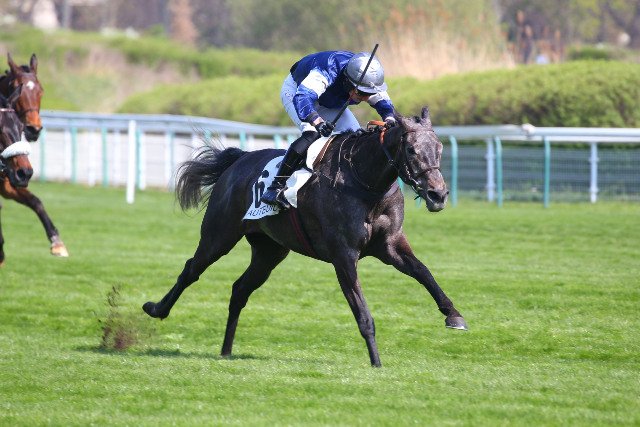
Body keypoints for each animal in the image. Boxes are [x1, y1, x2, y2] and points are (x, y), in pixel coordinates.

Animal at [0, 53, 68, 259]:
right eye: (17, 87)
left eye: (41, 91)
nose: (34, 129)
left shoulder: (9, 183)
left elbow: (36, 201)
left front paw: (57, 242)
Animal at [143, 107, 467, 367]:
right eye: (411, 150)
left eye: (439, 148)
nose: (438, 195)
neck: (364, 183)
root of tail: (238, 160)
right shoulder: (343, 256)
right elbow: (362, 312)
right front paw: (376, 362)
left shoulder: (391, 245)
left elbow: (424, 273)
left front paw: (453, 315)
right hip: (219, 235)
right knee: (191, 270)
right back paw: (156, 308)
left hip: (269, 251)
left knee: (240, 289)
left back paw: (226, 350)